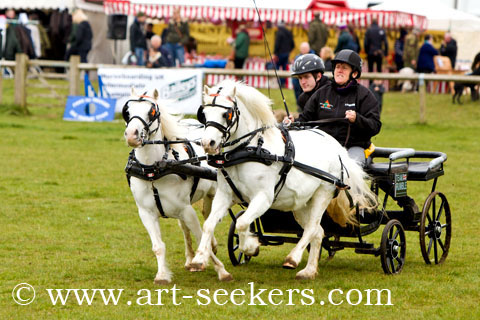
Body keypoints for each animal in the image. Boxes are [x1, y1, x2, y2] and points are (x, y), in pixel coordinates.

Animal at [124, 87, 232, 282]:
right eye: (128, 111)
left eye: (152, 111)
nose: (131, 135)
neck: (154, 170)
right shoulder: (146, 213)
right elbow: (158, 246)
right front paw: (162, 275)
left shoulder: (187, 210)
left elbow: (201, 235)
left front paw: (221, 270)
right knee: (187, 227)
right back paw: (190, 259)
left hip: (215, 193)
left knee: (211, 218)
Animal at [189, 80, 376, 280]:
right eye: (204, 113)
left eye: (226, 113)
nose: (208, 143)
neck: (249, 149)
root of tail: (337, 146)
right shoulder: (225, 195)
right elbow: (209, 225)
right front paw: (199, 260)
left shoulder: (263, 198)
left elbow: (242, 223)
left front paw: (250, 246)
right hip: (301, 204)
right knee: (318, 231)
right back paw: (309, 271)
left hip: (322, 194)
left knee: (312, 228)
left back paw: (293, 259)